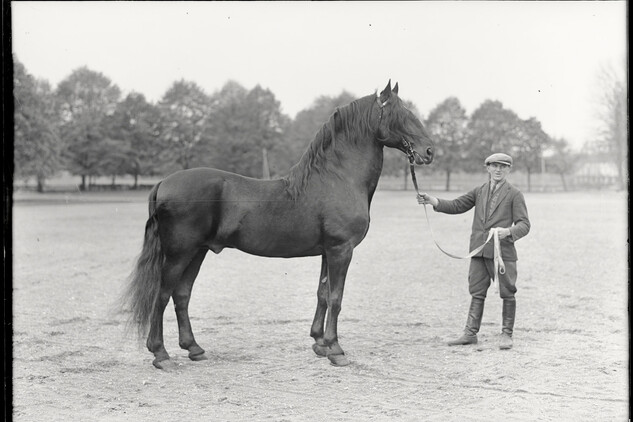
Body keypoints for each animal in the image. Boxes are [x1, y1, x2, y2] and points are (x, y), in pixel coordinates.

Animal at [121, 80, 432, 370]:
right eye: (402, 114)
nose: (428, 152)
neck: (338, 179)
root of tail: (164, 182)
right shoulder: (341, 250)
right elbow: (336, 297)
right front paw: (335, 350)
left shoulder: (327, 251)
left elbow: (322, 294)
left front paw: (319, 343)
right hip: (179, 254)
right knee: (161, 295)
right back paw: (161, 355)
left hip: (197, 252)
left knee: (181, 294)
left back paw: (194, 348)